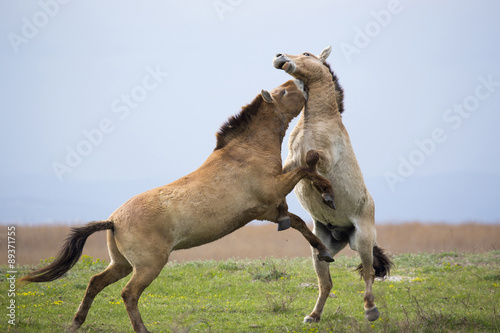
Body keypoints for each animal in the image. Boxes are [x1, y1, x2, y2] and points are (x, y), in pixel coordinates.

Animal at [21, 78, 338, 332]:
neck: (247, 152)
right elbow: (305, 170)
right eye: (283, 92)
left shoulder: (268, 211)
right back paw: (141, 329)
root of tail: (114, 220)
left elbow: (297, 221)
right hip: (148, 266)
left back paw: (76, 322)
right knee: (128, 294)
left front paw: (323, 251)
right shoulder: (272, 194)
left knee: (95, 282)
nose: (302, 85)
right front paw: (328, 193)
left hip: (122, 264)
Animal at [274, 46, 394, 322]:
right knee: (326, 282)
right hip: (321, 248)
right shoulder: (290, 163)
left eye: (307, 54)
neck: (315, 122)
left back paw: (371, 310)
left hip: (363, 241)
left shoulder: (324, 159)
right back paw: (313, 315)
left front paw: (327, 194)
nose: (279, 57)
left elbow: (312, 161)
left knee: (369, 274)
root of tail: (344, 234)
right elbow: (292, 169)